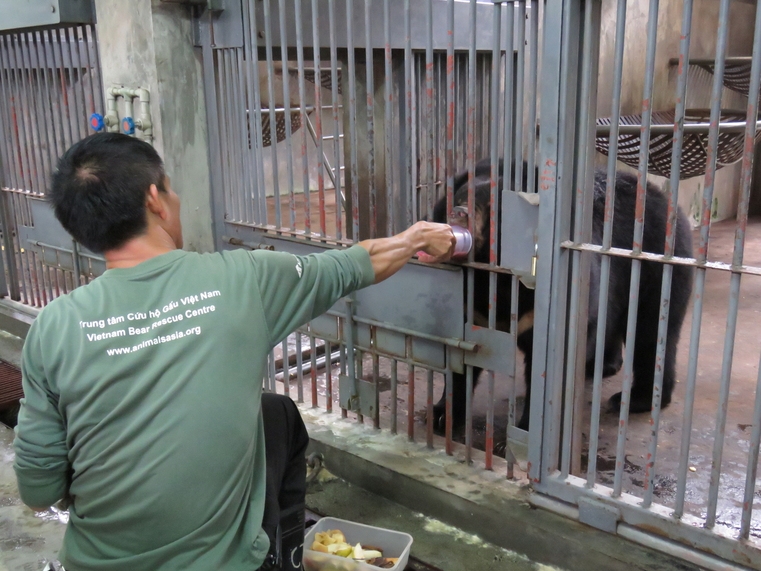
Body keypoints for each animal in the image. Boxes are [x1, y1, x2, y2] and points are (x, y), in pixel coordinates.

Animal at [430, 159, 692, 432]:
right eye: (460, 197)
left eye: (494, 207)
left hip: (653, 270)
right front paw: (442, 415)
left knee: (651, 333)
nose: (459, 213)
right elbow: (460, 351)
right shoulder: (471, 302)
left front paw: (528, 426)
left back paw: (635, 399)